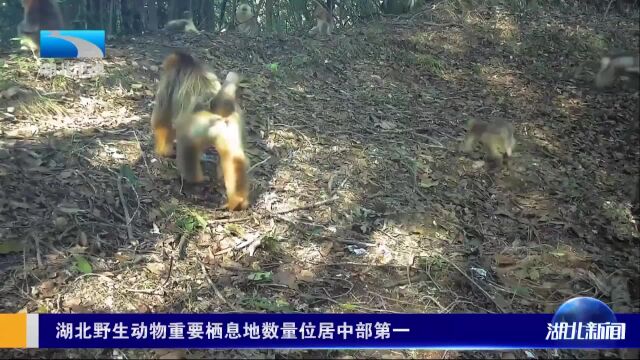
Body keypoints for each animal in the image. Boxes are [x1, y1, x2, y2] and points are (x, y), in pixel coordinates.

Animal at [151, 52, 250, 212]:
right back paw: (238, 200)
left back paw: (194, 182)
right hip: (233, 126)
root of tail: (218, 108)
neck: (189, 62)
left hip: (199, 125)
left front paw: (163, 151)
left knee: (186, 142)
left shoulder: (170, 78)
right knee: (235, 157)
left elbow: (161, 121)